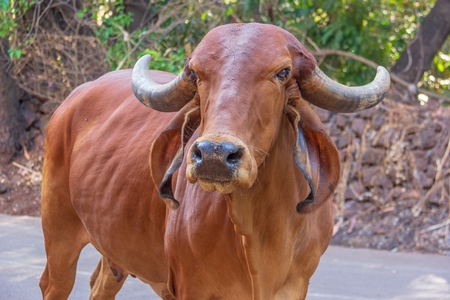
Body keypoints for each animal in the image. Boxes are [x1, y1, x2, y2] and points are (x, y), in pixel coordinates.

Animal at [40, 22, 388, 298]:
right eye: (195, 73)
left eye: (283, 72)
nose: (214, 155)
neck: (261, 235)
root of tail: (71, 102)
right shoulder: (192, 288)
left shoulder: (295, 285)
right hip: (58, 233)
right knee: (53, 284)